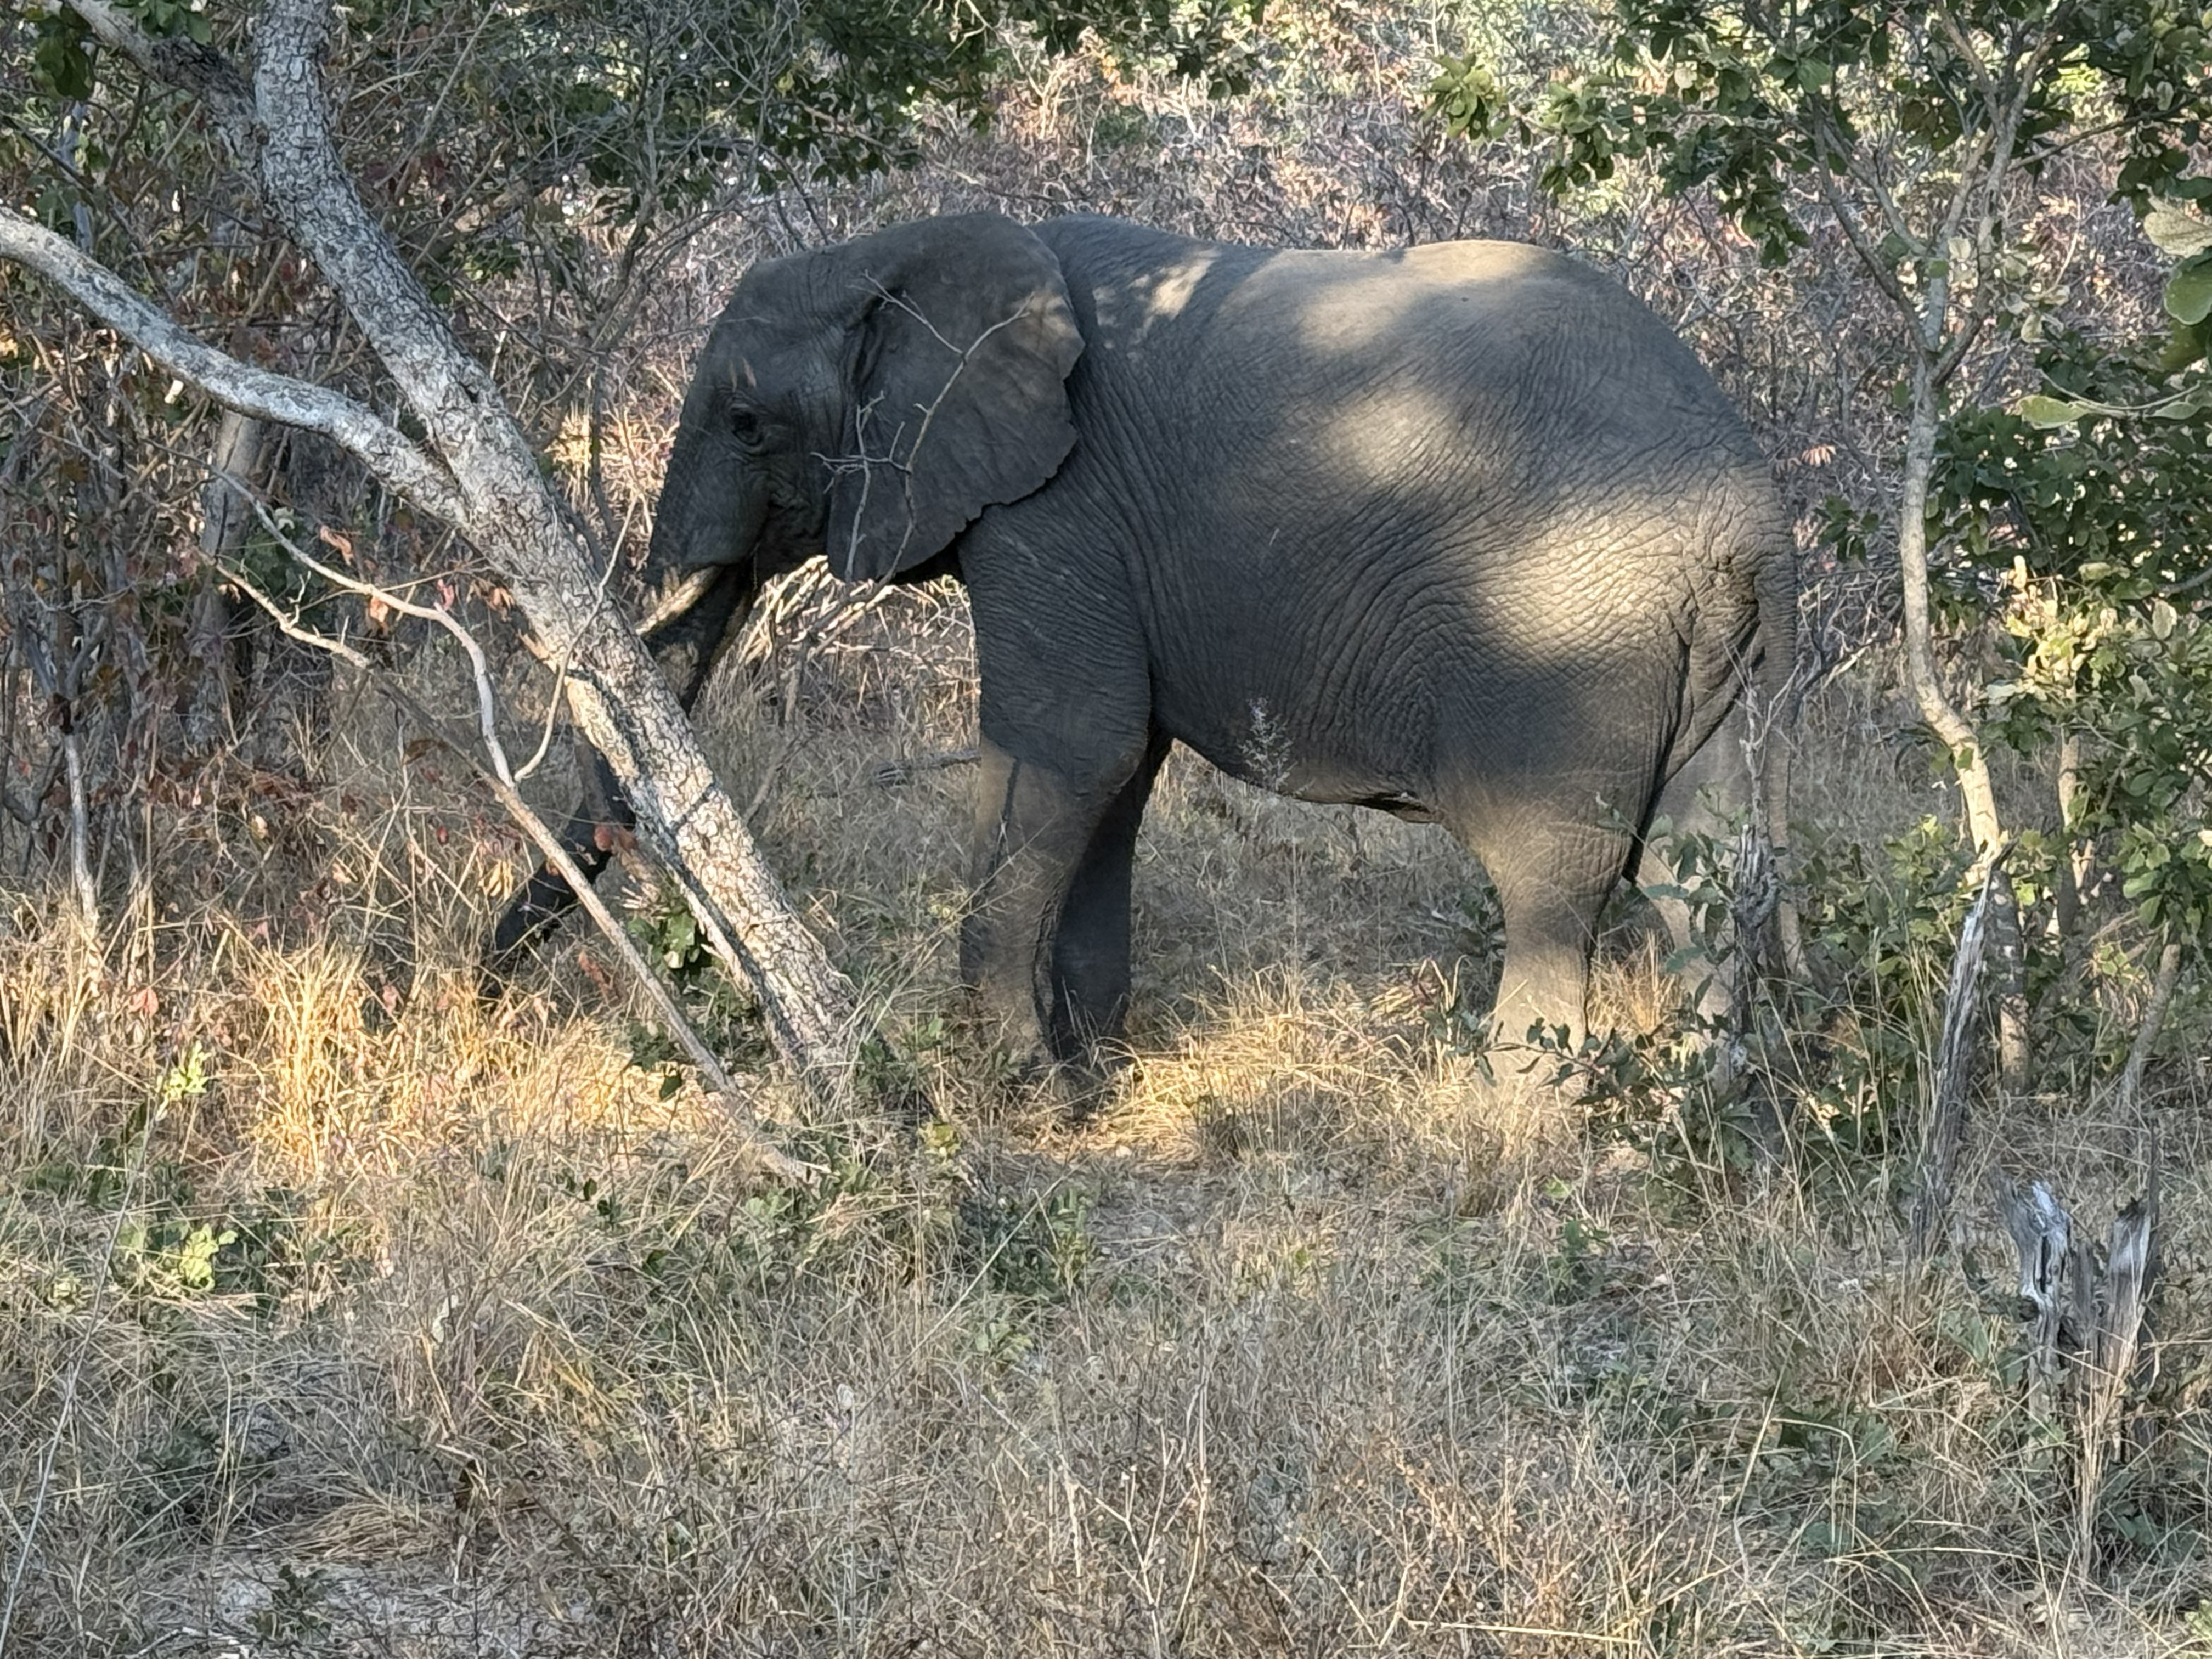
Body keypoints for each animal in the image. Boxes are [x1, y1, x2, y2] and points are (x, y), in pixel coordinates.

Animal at [485, 210, 1797, 1092]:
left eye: (749, 423)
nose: (487, 998)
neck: (907, 244)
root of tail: (1747, 502)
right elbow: (1114, 776)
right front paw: (1094, 1075)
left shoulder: (1053, 508)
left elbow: (1071, 748)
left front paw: (1017, 1093)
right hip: (1717, 647)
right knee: (1707, 862)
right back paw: (1705, 1113)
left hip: (1575, 627)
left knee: (1553, 878)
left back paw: (1507, 1129)